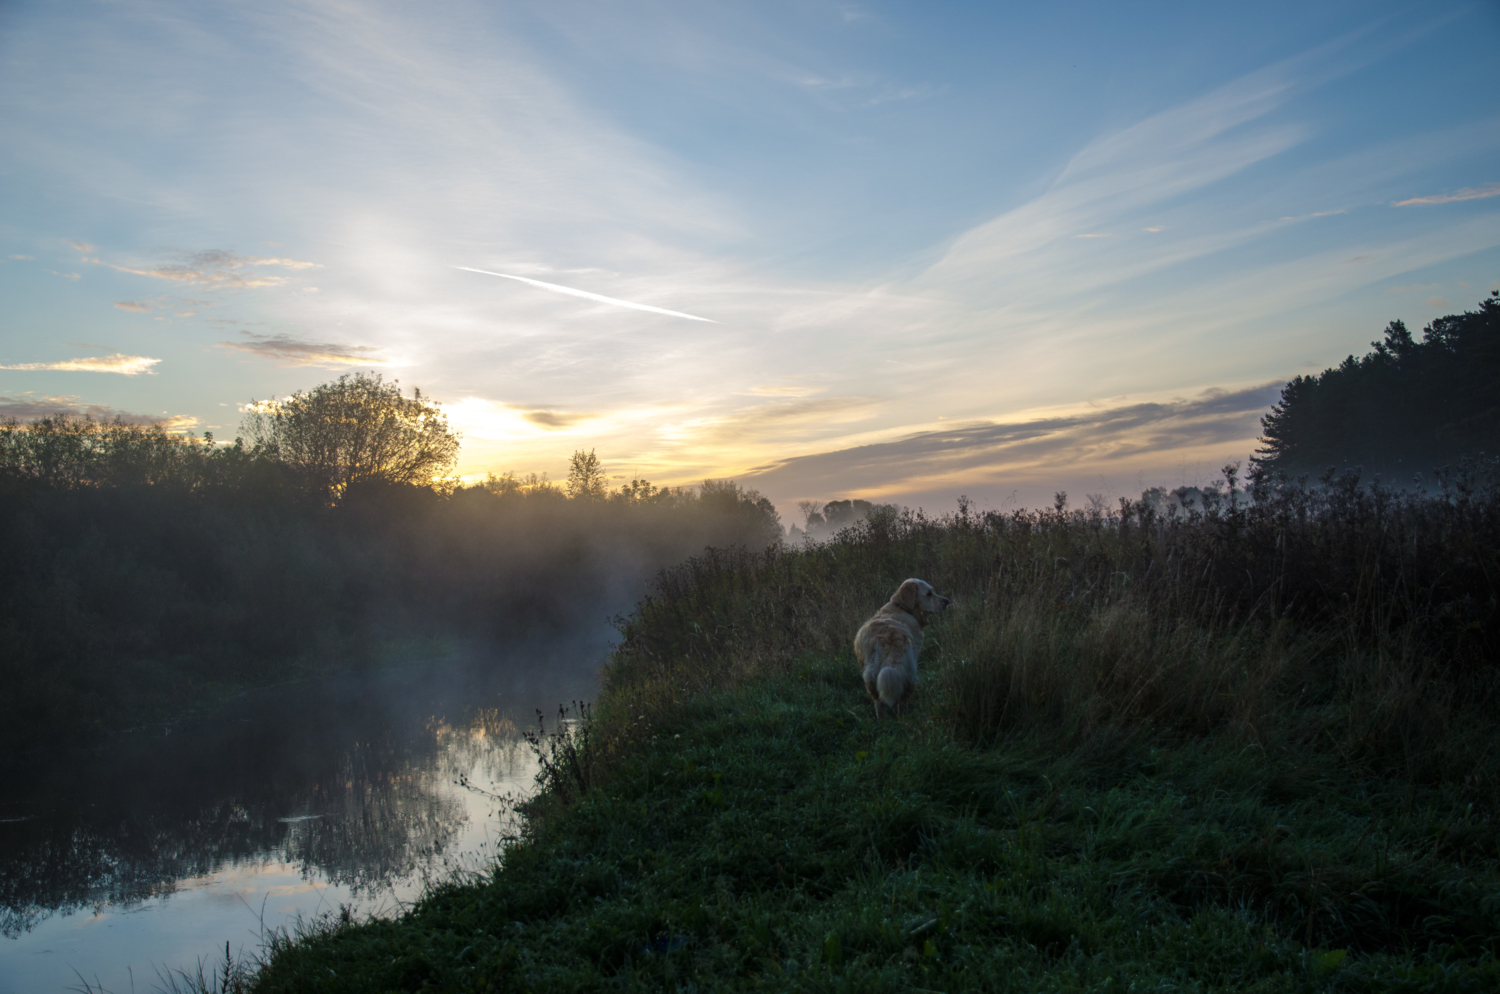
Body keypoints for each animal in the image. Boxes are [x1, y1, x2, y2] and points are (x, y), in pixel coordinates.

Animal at [858, 578, 948, 719]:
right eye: (929, 593)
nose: (947, 601)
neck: (902, 608)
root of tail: (888, 638)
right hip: (910, 672)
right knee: (903, 700)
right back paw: (903, 717)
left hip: (871, 675)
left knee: (879, 702)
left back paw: (882, 719)